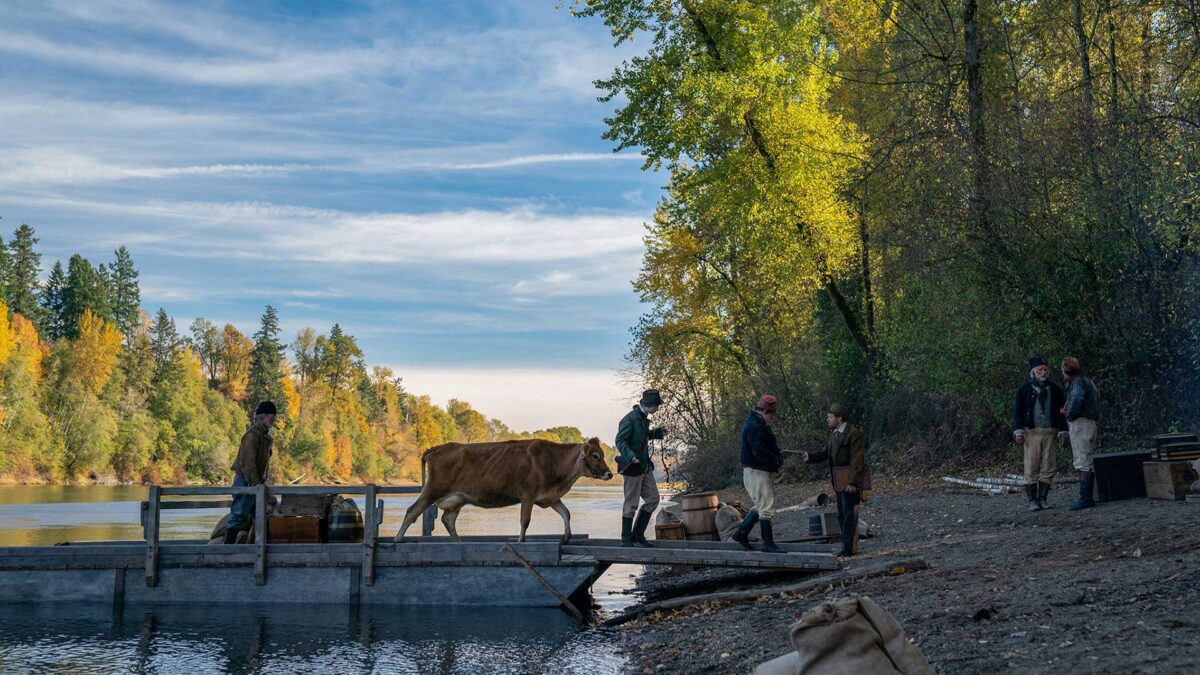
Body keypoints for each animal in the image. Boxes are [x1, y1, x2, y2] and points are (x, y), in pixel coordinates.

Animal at [393, 437, 614, 540]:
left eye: (602, 454)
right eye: (595, 455)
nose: (609, 474)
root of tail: (438, 447)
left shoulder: (549, 497)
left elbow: (566, 513)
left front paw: (567, 537)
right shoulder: (528, 494)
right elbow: (525, 521)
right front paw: (520, 541)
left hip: (456, 499)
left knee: (448, 520)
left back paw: (459, 542)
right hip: (433, 489)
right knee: (412, 511)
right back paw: (397, 540)